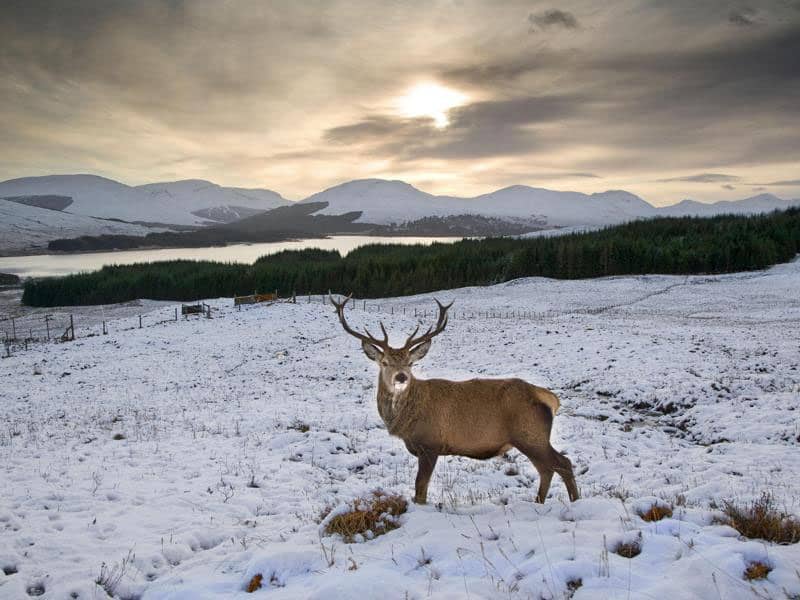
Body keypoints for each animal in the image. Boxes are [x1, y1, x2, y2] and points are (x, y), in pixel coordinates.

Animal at [328, 296, 580, 506]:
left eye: (410, 363)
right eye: (385, 362)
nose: (401, 377)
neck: (405, 421)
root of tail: (549, 398)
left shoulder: (430, 444)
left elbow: (420, 490)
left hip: (531, 433)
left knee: (563, 463)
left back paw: (574, 501)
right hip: (530, 438)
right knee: (547, 469)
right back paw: (540, 502)